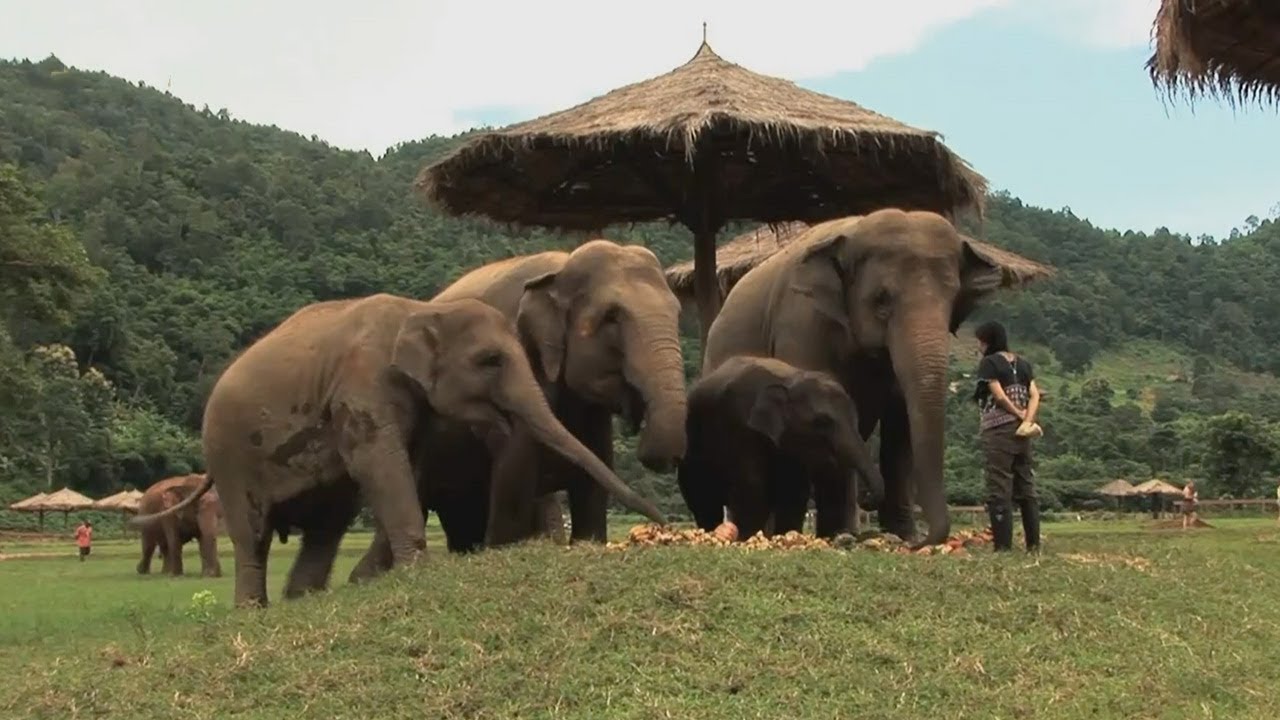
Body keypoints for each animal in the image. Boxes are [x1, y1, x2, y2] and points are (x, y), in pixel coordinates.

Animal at [131, 293, 665, 608]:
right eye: (490, 360)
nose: (660, 520)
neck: (420, 309)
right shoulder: (363, 384)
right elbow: (380, 464)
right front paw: (418, 573)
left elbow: (408, 466)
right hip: (230, 454)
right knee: (252, 532)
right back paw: (253, 611)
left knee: (326, 524)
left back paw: (303, 601)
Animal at [677, 356, 886, 540]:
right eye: (821, 422)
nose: (865, 497)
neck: (790, 380)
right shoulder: (740, 426)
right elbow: (753, 486)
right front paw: (745, 538)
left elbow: (794, 490)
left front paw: (786, 534)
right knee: (702, 497)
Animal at [702, 209, 1042, 547]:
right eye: (881, 300)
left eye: (952, 299)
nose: (921, 542)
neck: (854, 228)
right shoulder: (802, 324)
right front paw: (841, 535)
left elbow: (901, 424)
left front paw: (900, 534)